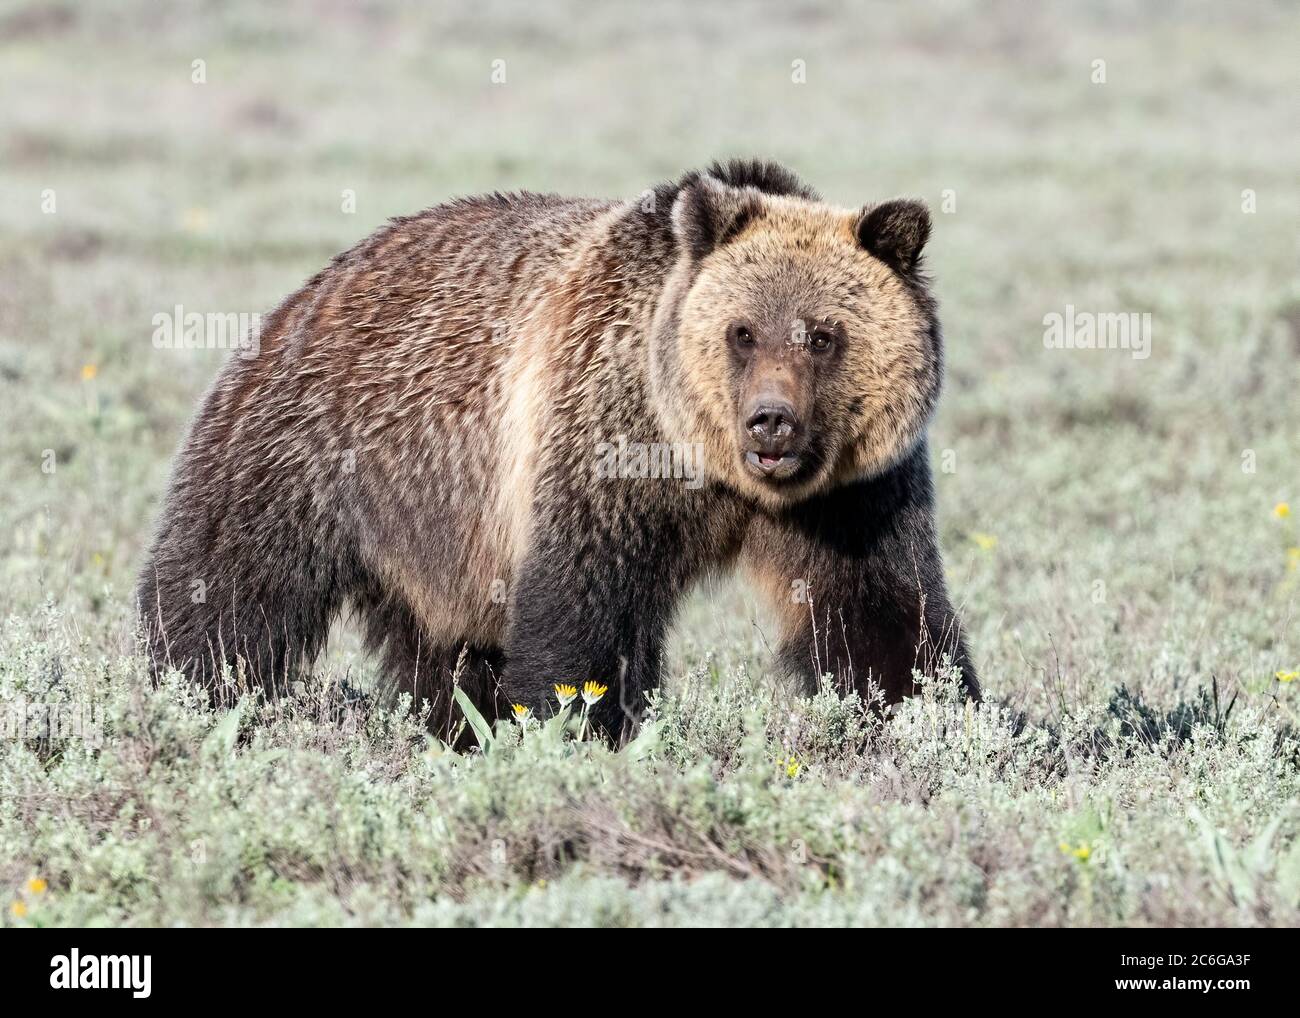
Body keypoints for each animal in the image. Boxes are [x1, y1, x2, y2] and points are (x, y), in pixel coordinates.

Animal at [137, 159, 977, 738]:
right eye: (743, 332)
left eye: (824, 336)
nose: (772, 423)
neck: (713, 471)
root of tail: (319, 282)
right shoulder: (601, 443)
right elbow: (581, 608)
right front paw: (577, 726)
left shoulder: (854, 494)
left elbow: (881, 613)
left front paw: (943, 718)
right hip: (307, 449)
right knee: (226, 589)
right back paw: (188, 691)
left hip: (435, 537)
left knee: (442, 651)